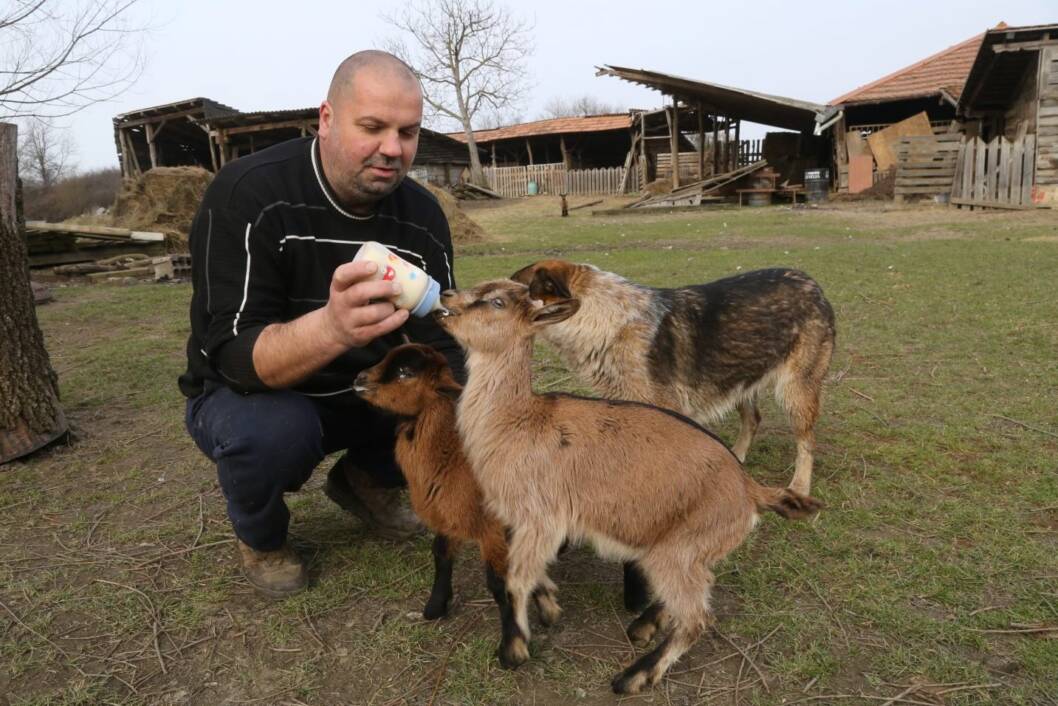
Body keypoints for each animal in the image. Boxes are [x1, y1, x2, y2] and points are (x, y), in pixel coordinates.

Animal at [512, 261, 833, 497]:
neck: (601, 319)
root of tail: (812, 283)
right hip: (736, 376)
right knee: (753, 419)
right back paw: (736, 457)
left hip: (796, 392)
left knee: (807, 441)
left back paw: (799, 486)